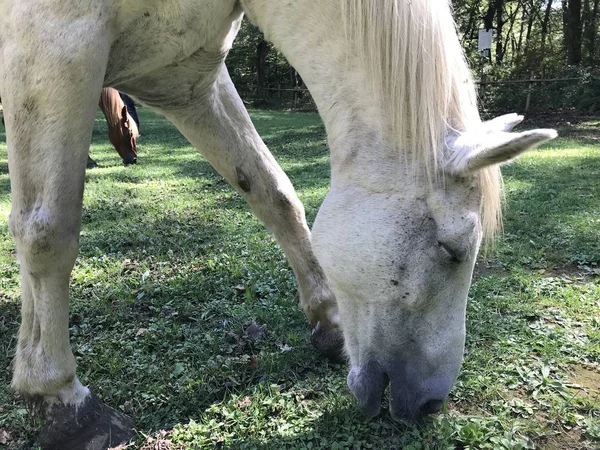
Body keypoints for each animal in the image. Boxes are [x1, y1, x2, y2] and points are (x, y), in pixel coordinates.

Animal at [0, 0, 556, 450]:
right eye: (451, 249)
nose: (429, 405)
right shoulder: (54, 49)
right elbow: (47, 231)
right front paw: (62, 400)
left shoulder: (187, 83)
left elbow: (274, 194)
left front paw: (328, 322)